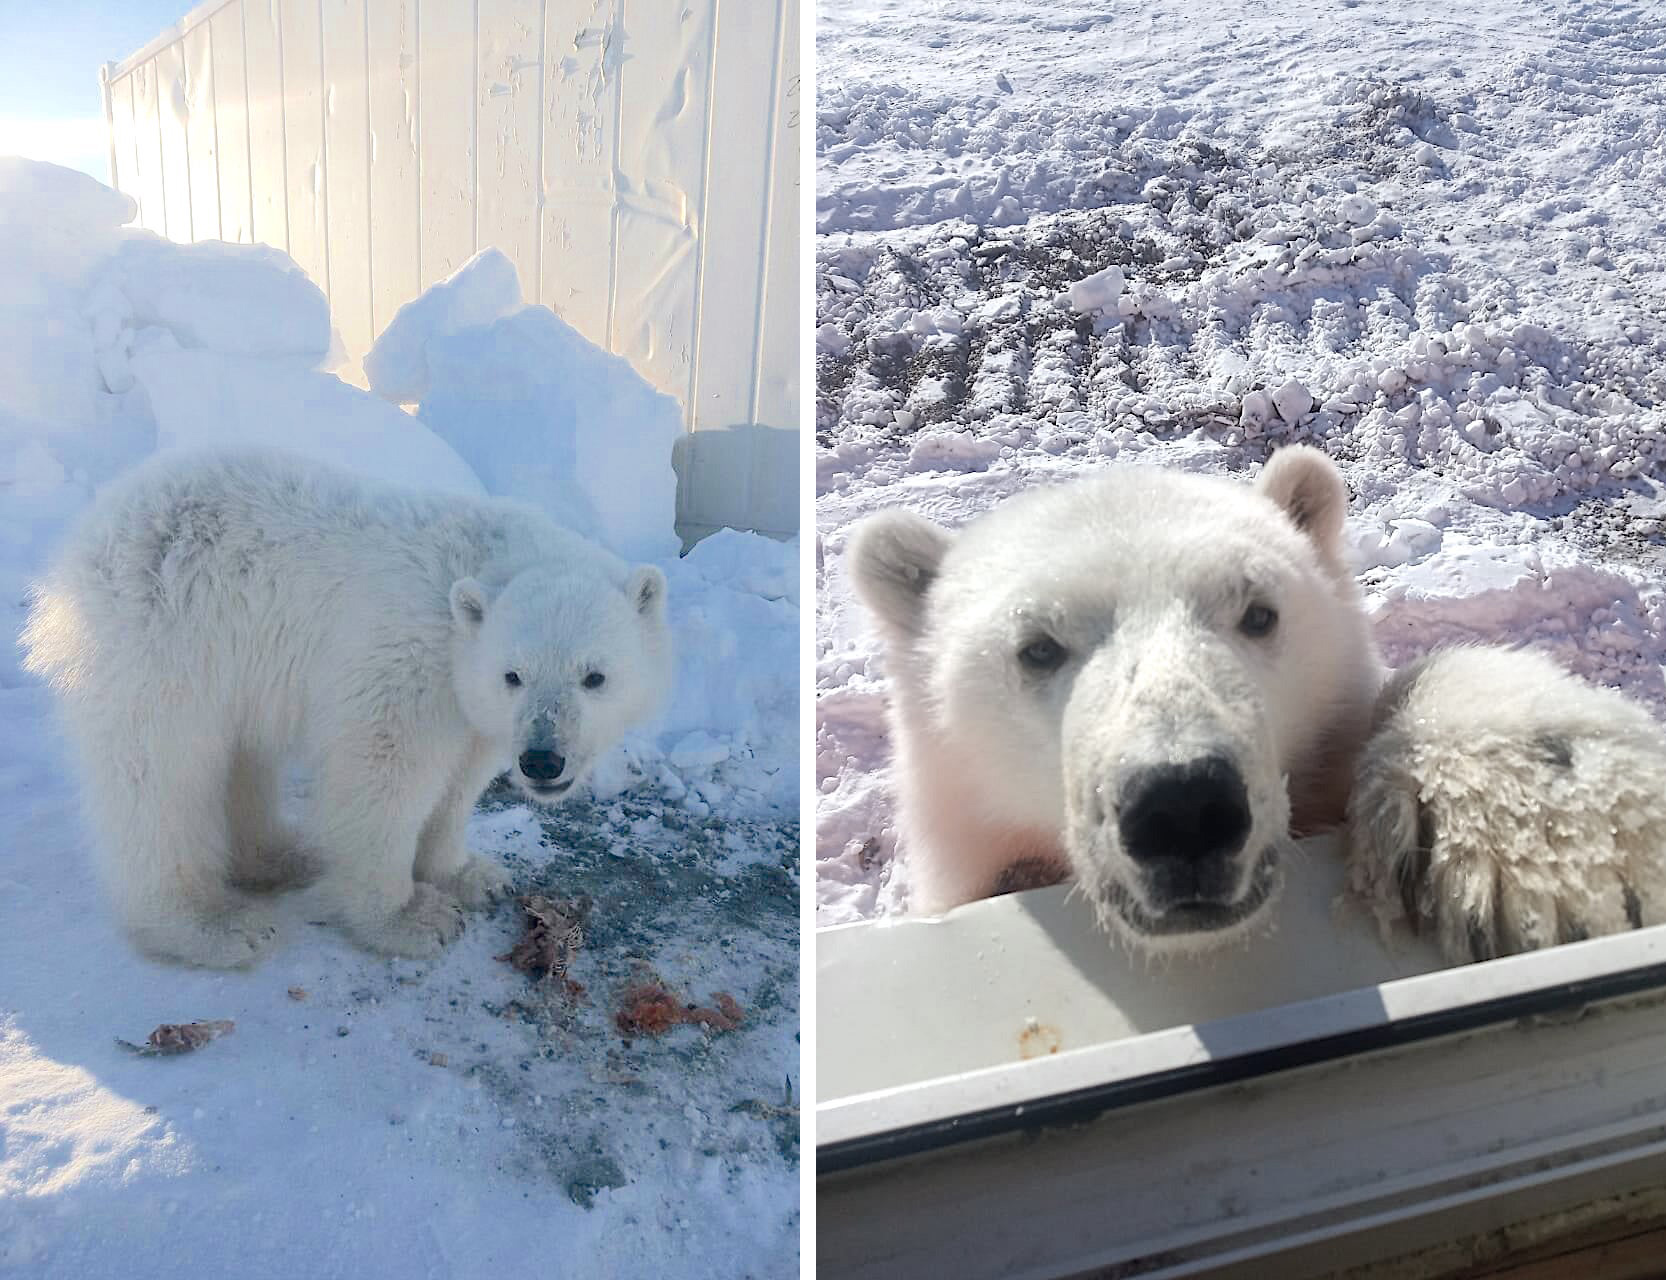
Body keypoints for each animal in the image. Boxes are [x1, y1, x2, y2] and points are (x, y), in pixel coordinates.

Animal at [19, 446, 669, 966]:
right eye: (515, 674)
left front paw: (471, 875)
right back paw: (211, 925)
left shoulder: (471, 703)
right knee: (162, 777)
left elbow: (461, 781)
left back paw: (280, 856)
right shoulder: (405, 665)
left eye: (594, 676)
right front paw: (412, 918)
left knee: (240, 756)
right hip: (164, 639)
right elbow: (383, 778)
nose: (541, 760)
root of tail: (88, 533)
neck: (477, 572)